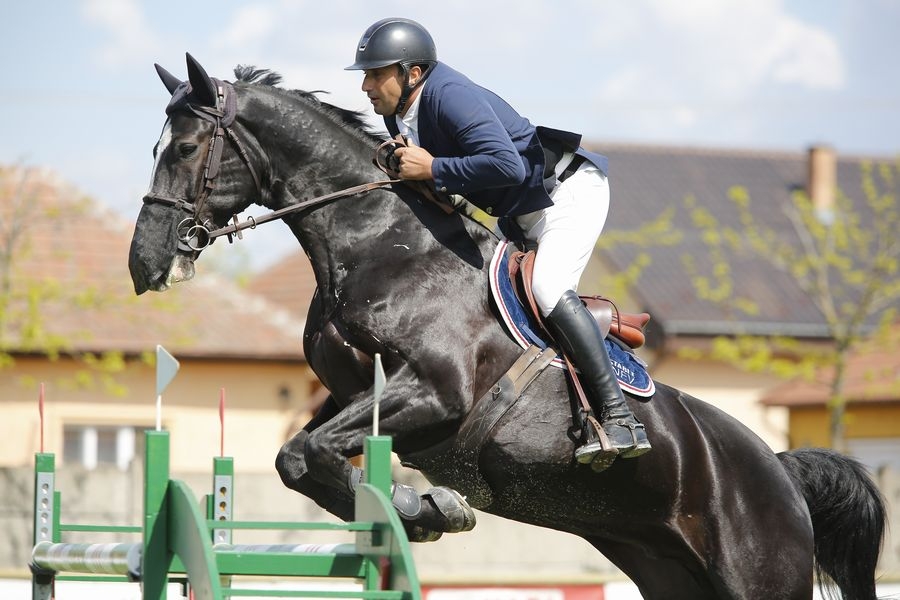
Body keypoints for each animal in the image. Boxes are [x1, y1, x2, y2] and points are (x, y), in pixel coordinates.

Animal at [128, 54, 884, 596]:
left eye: (186, 148)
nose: (144, 263)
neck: (373, 242)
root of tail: (781, 469)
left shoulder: (435, 391)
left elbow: (308, 452)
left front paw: (429, 508)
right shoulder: (350, 395)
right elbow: (300, 457)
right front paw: (426, 506)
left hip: (758, 572)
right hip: (671, 573)